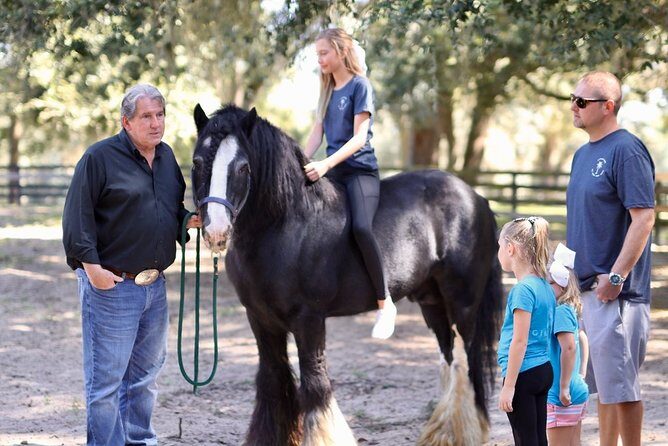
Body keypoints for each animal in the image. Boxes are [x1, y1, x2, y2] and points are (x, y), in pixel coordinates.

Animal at [190, 103, 503, 445]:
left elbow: (315, 385)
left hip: (463, 303)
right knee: (450, 360)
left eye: (243, 167)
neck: (286, 223)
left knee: (469, 364)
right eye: (197, 162)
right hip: (432, 302)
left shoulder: (309, 318)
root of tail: (476, 198)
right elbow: (273, 381)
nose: (216, 231)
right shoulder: (260, 318)